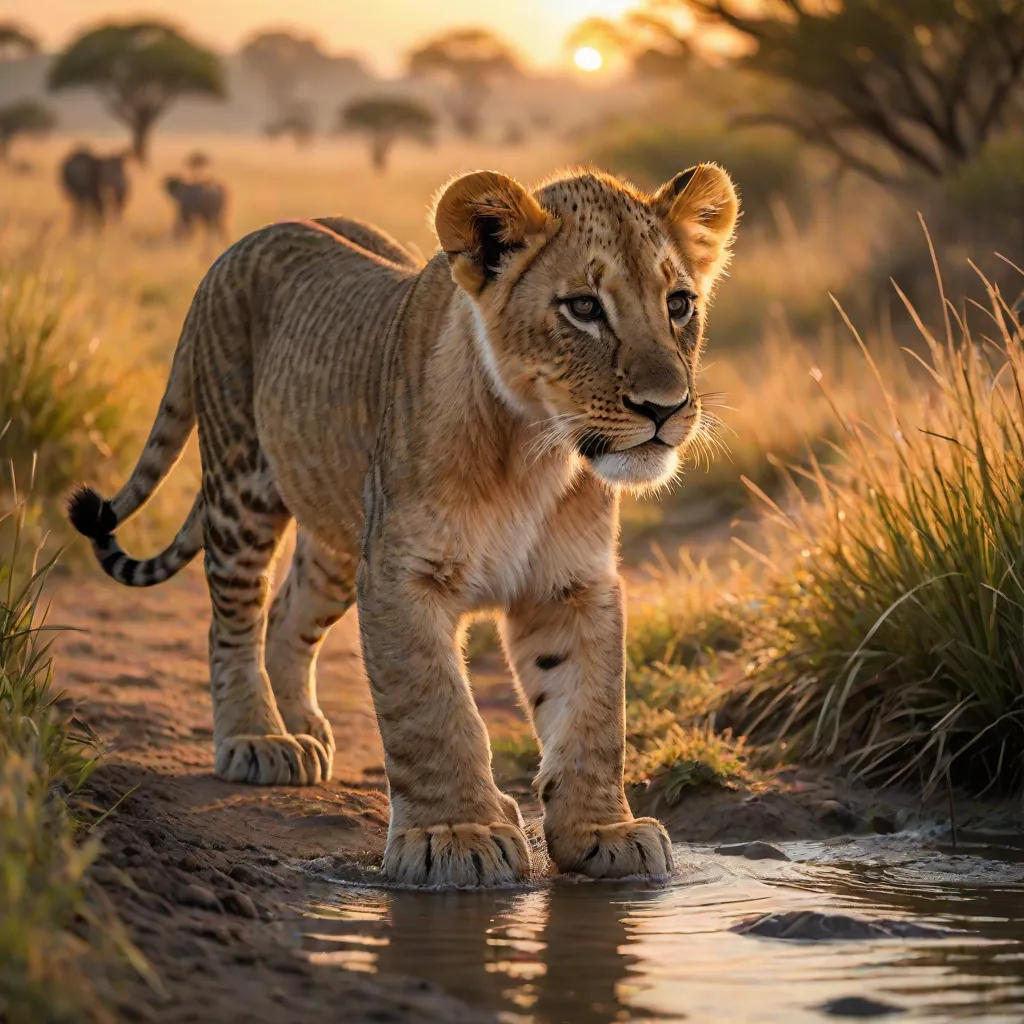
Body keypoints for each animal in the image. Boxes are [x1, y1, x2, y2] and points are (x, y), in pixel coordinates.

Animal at [68, 165, 739, 887]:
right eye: (583, 307)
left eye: (679, 303)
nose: (665, 408)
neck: (533, 452)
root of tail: (241, 244)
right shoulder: (400, 574)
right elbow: (433, 709)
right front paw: (456, 835)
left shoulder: (572, 585)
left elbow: (589, 713)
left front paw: (603, 833)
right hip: (241, 483)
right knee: (234, 622)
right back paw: (259, 738)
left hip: (339, 536)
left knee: (287, 618)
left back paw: (309, 731)